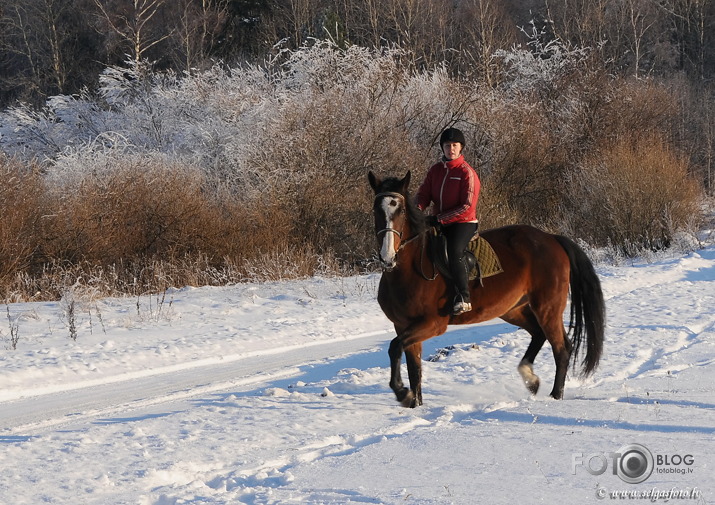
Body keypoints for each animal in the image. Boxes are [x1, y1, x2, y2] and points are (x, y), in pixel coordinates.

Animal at [366, 171, 608, 408]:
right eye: (376, 210)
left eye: (401, 210)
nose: (387, 257)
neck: (410, 269)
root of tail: (552, 239)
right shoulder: (403, 325)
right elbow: (413, 368)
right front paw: (413, 402)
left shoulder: (432, 324)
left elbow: (394, 347)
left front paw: (402, 393)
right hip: (513, 309)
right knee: (538, 334)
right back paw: (530, 379)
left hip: (547, 307)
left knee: (561, 348)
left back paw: (555, 396)